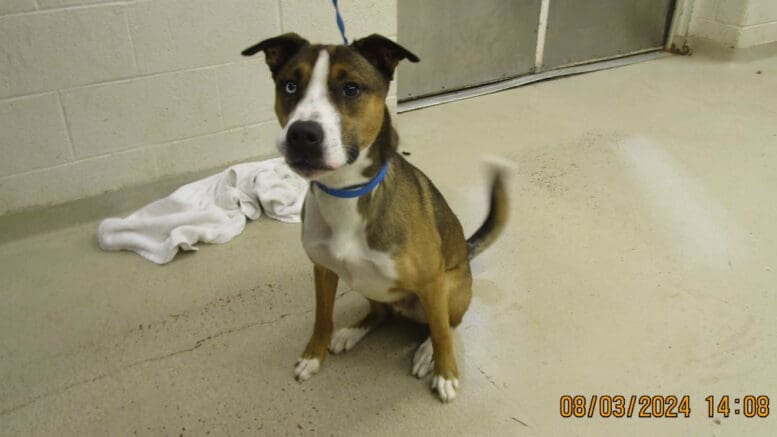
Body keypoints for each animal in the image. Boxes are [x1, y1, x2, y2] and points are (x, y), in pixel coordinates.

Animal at [244, 33, 510, 402]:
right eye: (290, 86)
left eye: (351, 88)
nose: (302, 134)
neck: (345, 191)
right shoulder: (323, 271)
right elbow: (321, 318)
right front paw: (314, 355)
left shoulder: (432, 282)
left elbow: (442, 332)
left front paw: (446, 373)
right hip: (364, 283)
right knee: (380, 312)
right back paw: (352, 332)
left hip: (451, 288)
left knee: (445, 323)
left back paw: (426, 353)